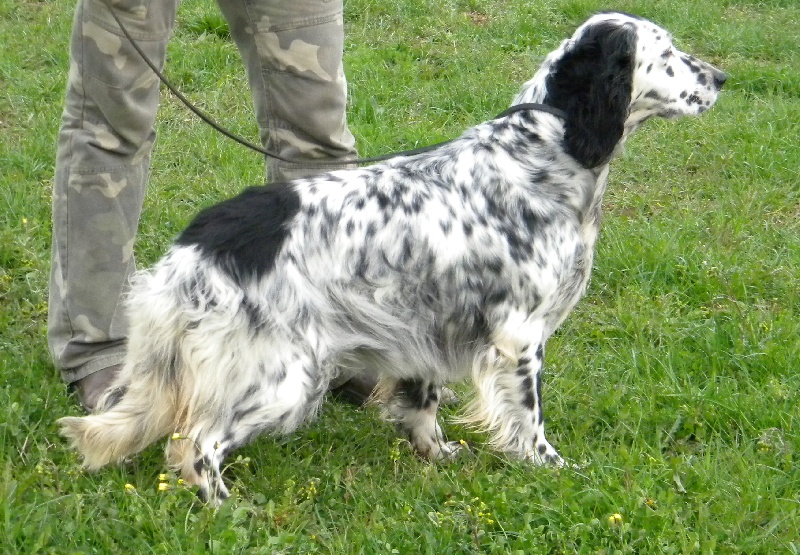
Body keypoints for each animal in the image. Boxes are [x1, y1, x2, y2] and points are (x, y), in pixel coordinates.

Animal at [61, 11, 724, 504]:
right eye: (667, 53)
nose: (721, 76)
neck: (547, 147)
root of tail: (195, 248)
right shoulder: (519, 336)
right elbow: (528, 420)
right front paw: (551, 467)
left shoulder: (427, 326)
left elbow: (421, 405)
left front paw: (437, 453)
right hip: (282, 378)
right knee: (194, 443)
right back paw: (228, 508)